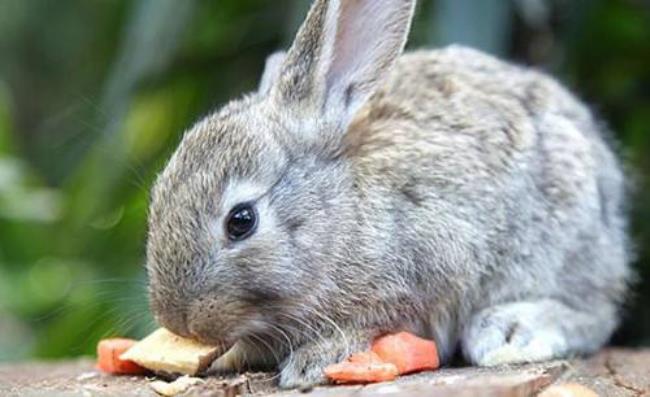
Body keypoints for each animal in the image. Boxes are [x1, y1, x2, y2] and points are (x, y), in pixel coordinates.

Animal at [146, 0, 628, 386]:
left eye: (241, 221)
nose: (178, 321)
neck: (340, 218)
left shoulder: (435, 267)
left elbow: (379, 325)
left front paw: (313, 361)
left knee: (596, 316)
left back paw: (511, 331)